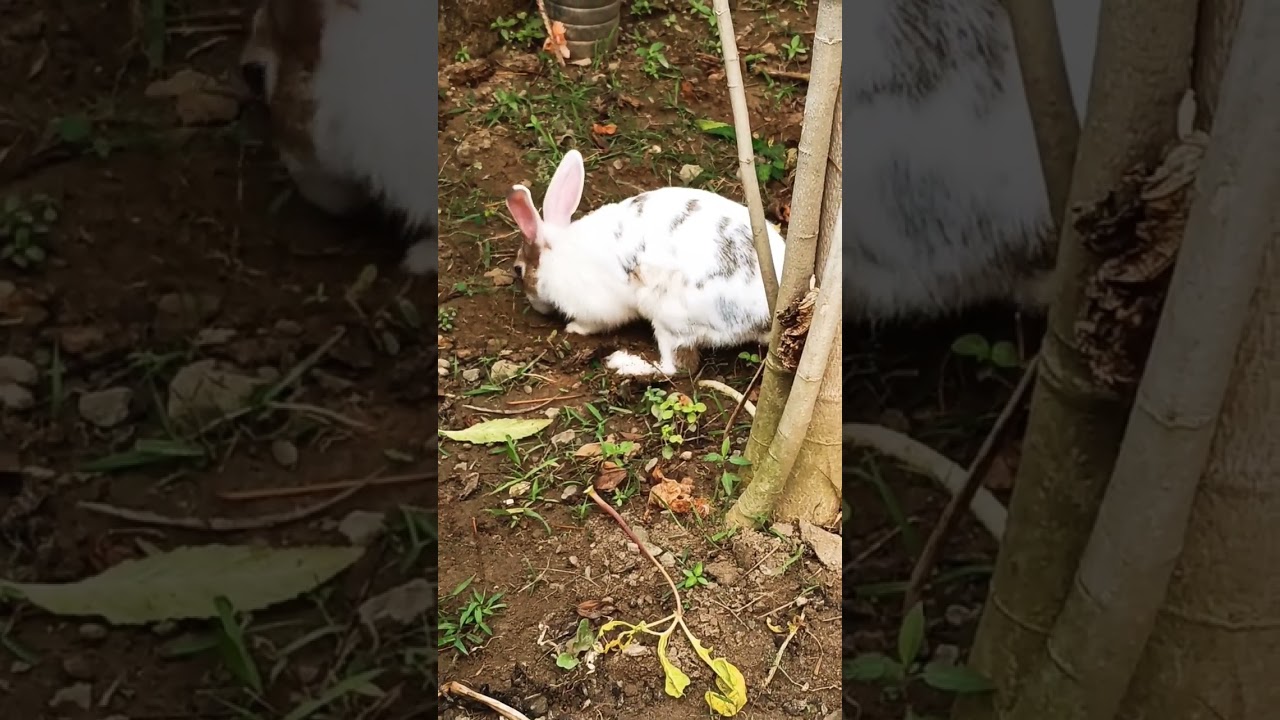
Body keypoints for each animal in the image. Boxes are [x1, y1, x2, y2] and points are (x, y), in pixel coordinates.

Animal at [505, 149, 787, 377]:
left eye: (519, 269)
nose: (534, 304)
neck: (556, 254)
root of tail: (767, 316)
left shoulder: (595, 307)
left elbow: (593, 323)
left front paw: (574, 328)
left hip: (669, 318)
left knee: (677, 368)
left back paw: (624, 364)